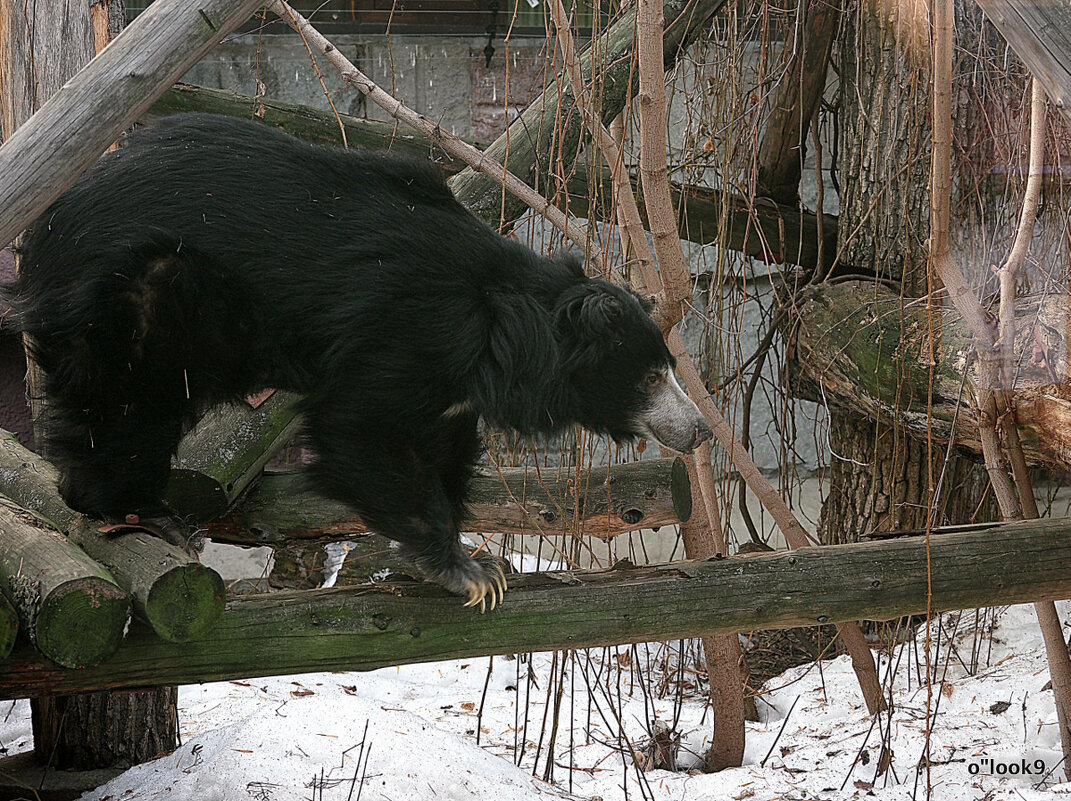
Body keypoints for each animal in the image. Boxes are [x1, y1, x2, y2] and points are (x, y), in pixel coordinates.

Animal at [10, 114, 711, 608]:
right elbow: (363, 427)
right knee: (126, 402)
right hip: (141, 297)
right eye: (652, 376)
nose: (700, 430)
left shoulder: (450, 383)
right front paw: (466, 571)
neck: (502, 330)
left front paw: (477, 556)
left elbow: (439, 444)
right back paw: (141, 512)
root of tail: (49, 223)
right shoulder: (405, 332)